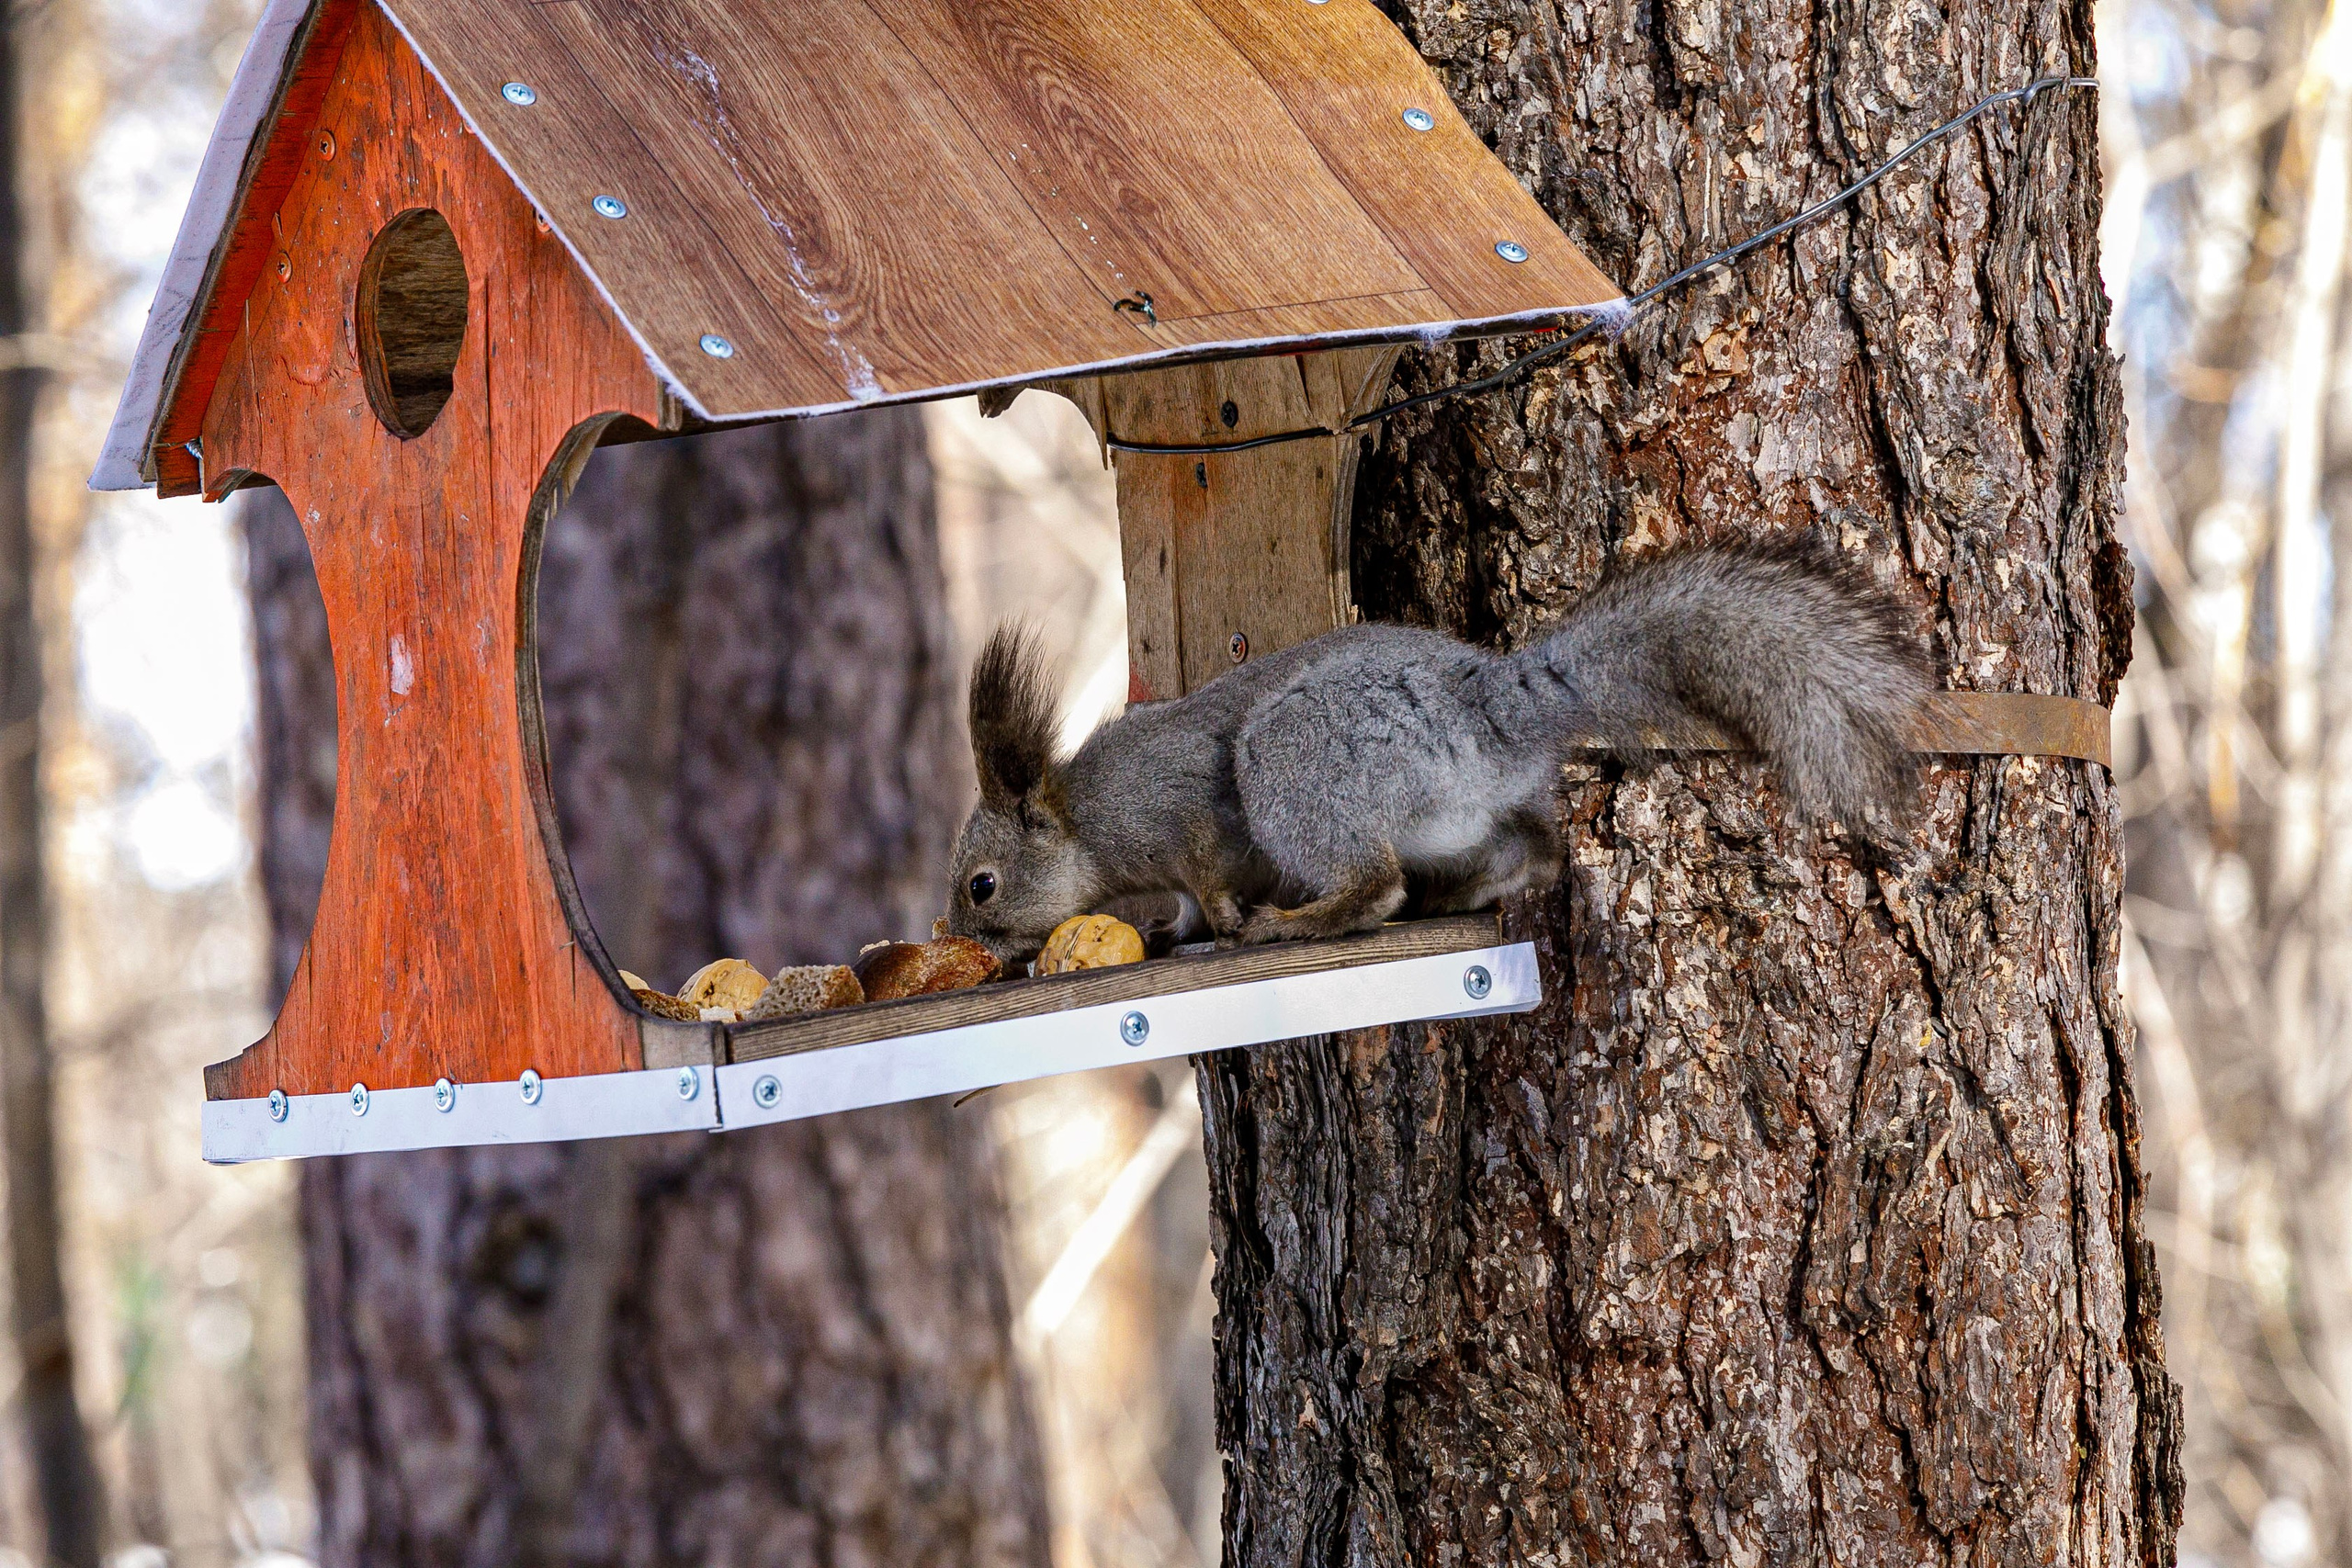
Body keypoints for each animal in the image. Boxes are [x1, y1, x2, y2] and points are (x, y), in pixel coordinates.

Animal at [944, 536, 1934, 965]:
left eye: (980, 886)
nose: (963, 942)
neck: (1086, 818)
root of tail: (1486, 706)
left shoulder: (1175, 809)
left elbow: (1206, 880)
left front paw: (1219, 921)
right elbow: (1183, 910)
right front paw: (1169, 931)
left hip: (1294, 760)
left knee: (1375, 885)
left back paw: (1294, 922)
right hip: (1469, 814)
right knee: (1531, 852)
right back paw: (1456, 893)